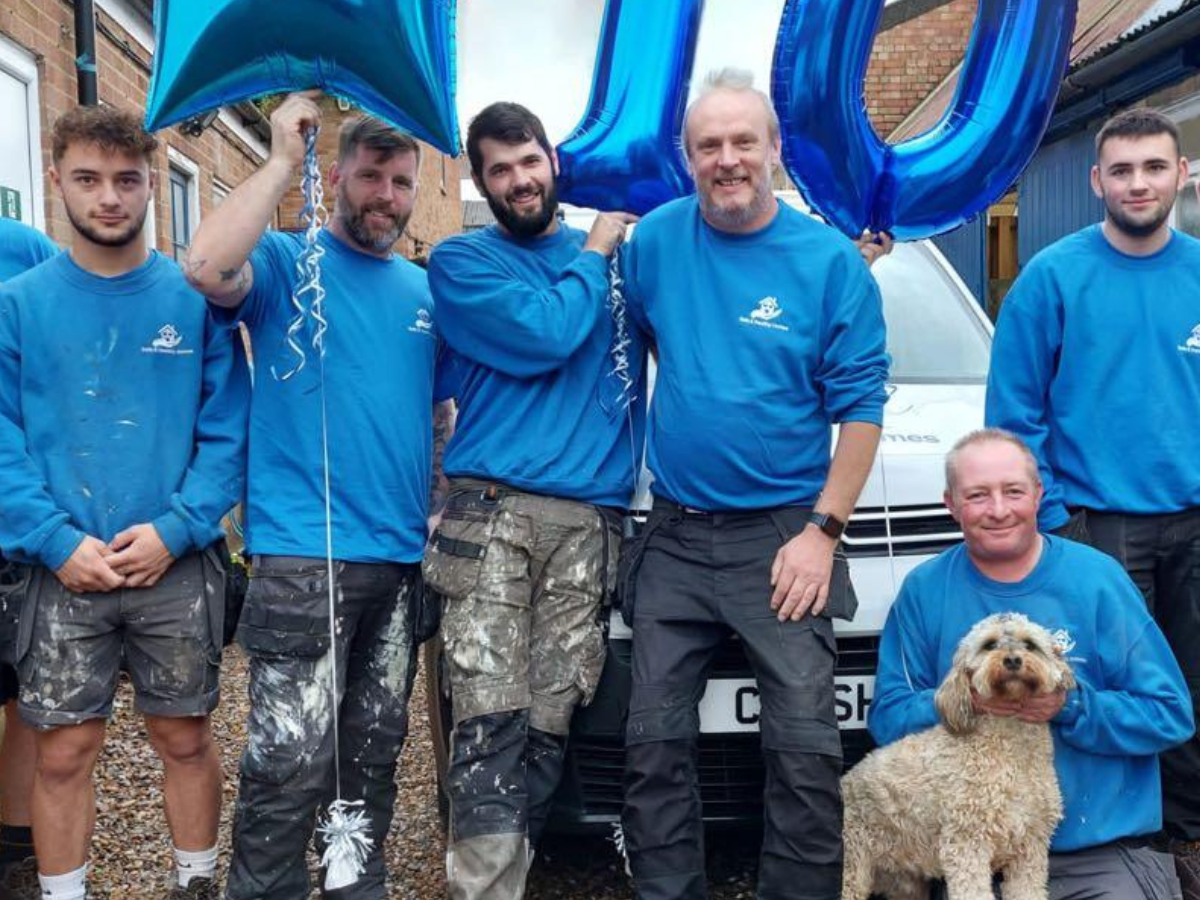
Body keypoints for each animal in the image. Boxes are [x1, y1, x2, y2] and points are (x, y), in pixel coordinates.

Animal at [840, 614, 1075, 900]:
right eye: (989, 644)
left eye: (1030, 645)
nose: (1012, 660)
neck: (1009, 751)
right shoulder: (967, 845)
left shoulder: (1029, 850)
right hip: (854, 866)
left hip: (905, 883)